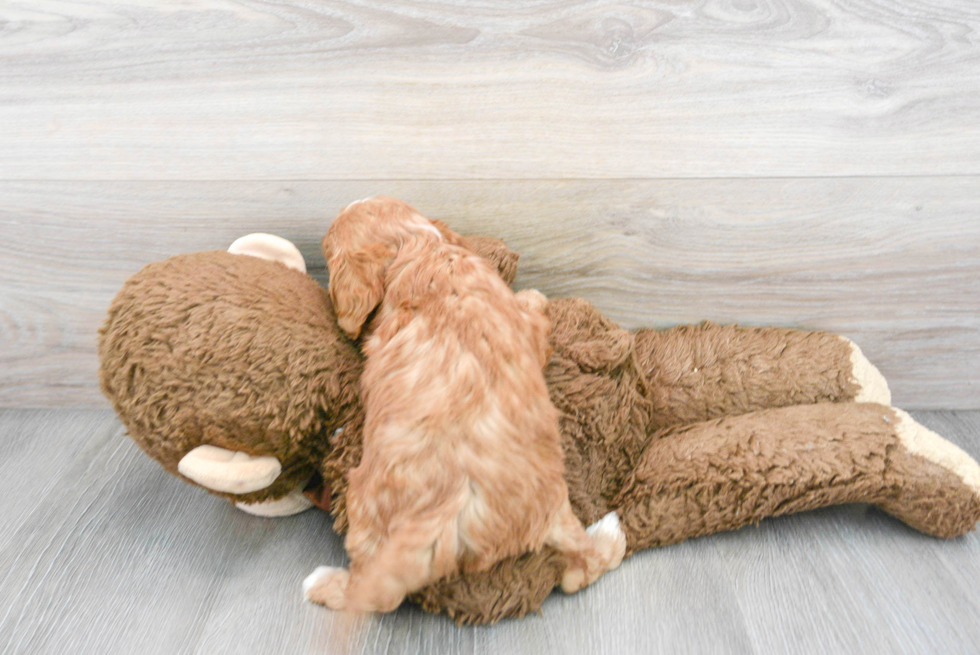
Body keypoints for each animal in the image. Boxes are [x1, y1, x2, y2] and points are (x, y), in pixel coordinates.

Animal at [304, 196, 628, 616]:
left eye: (327, 252)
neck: (423, 251)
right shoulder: (525, 324)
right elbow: (534, 308)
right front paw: (536, 297)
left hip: (364, 504)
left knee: (377, 594)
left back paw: (324, 584)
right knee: (581, 571)